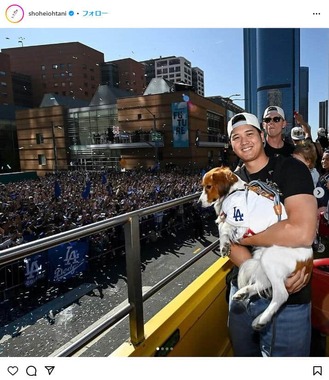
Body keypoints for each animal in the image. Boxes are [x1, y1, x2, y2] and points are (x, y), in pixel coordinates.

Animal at [197, 166, 312, 330]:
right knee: (265, 283)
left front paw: (224, 244)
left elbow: (223, 226)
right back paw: (243, 293)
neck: (233, 191)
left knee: (281, 294)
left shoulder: (240, 219)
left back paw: (261, 319)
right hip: (263, 259)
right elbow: (222, 226)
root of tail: (309, 261)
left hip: (270, 257)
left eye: (208, 186)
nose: (198, 204)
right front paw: (225, 244)